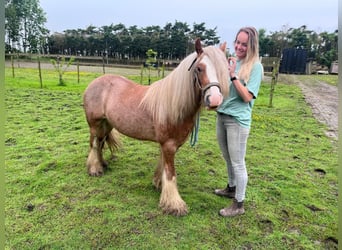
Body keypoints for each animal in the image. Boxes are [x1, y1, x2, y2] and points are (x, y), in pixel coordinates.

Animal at [82, 39, 230, 217]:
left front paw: (159, 184)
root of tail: (95, 82)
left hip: (107, 124)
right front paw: (174, 204)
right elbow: (171, 173)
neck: (174, 105)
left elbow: (163, 166)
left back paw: (102, 164)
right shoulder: (169, 145)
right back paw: (94, 169)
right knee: (94, 144)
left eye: (224, 69)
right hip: (95, 124)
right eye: (199, 68)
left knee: (101, 142)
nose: (214, 100)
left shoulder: (169, 145)